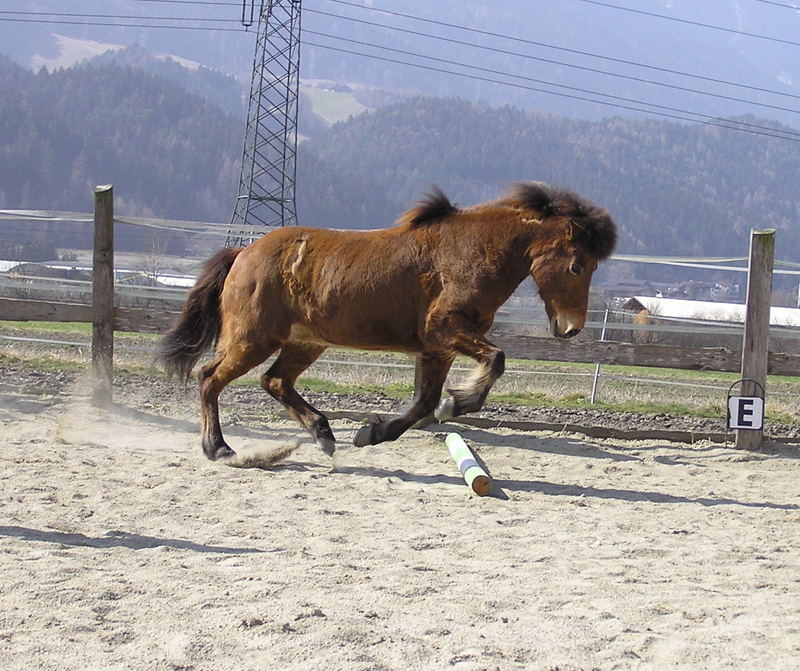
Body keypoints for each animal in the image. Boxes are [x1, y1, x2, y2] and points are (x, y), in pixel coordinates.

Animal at [158, 181, 620, 460]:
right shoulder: (444, 330)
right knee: (209, 377)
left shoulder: (437, 349)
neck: (470, 252)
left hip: (305, 341)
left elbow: (424, 404)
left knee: (274, 381)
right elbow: (495, 361)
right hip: (253, 339)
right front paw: (458, 402)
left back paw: (323, 434)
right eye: (577, 266)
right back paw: (218, 448)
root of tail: (244, 253)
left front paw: (373, 432)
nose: (572, 327)